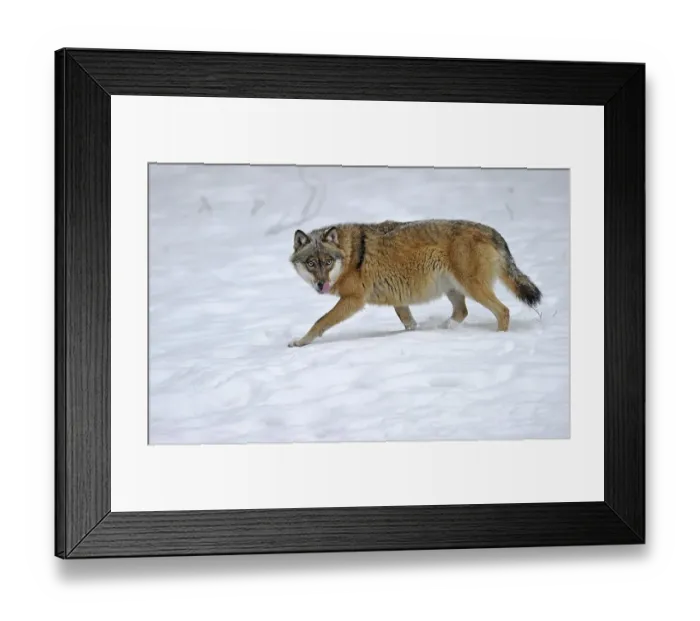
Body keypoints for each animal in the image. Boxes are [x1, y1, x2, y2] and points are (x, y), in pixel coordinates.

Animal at [288, 219, 542, 347]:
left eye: (328, 262)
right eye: (311, 263)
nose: (321, 284)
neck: (351, 256)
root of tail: (493, 231)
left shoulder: (353, 300)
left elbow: (321, 321)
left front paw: (301, 342)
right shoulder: (397, 299)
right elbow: (409, 323)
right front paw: (414, 335)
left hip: (472, 287)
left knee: (503, 310)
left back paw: (499, 338)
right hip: (453, 289)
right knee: (462, 311)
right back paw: (445, 328)